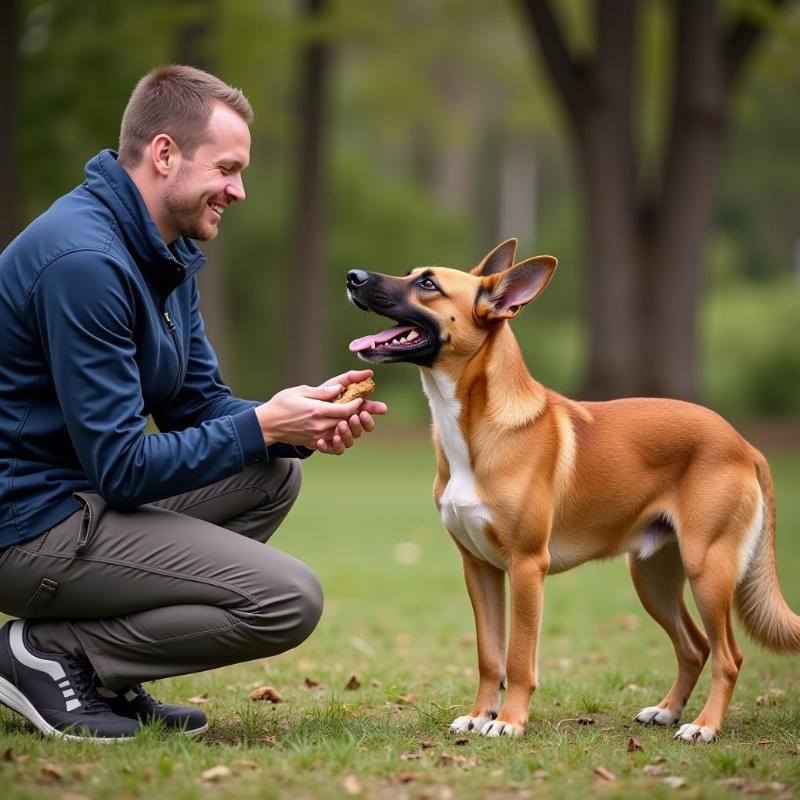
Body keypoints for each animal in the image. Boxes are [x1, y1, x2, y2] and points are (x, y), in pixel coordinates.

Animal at [346, 239, 800, 744]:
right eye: (412, 274)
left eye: (427, 283)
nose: (352, 276)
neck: (476, 428)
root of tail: (744, 444)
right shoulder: (479, 568)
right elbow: (489, 656)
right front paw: (480, 715)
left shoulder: (527, 568)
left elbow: (518, 657)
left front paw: (508, 721)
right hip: (653, 577)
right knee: (694, 646)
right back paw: (667, 712)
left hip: (709, 569)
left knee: (728, 655)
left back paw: (703, 726)